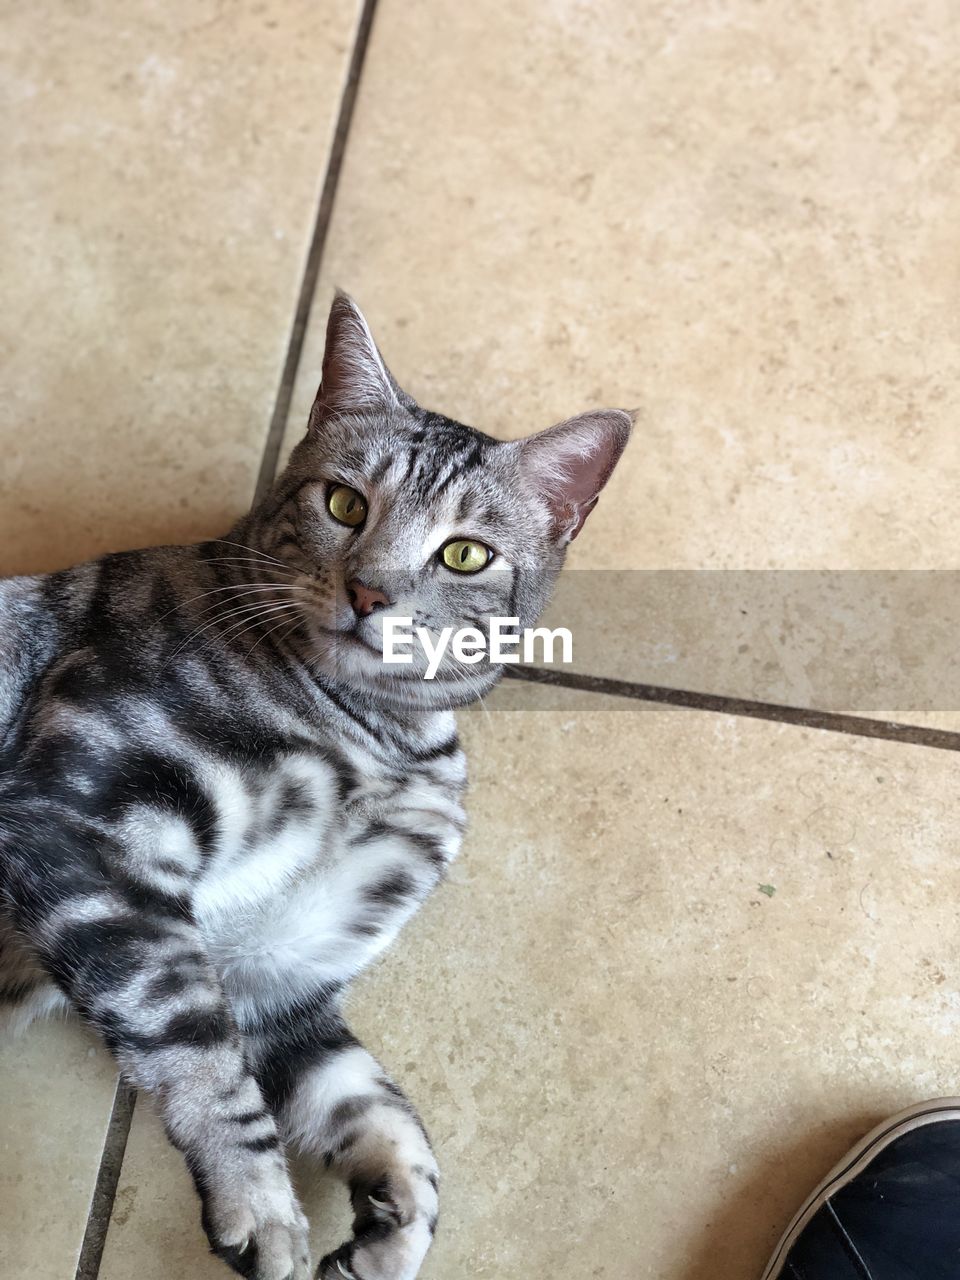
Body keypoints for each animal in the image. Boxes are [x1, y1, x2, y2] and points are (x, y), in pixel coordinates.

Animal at [0, 294, 632, 1280]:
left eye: (463, 554)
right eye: (344, 502)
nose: (369, 593)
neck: (382, 738)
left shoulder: (280, 981)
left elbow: (382, 1115)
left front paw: (392, 1232)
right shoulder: (83, 814)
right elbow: (190, 1037)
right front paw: (262, 1206)